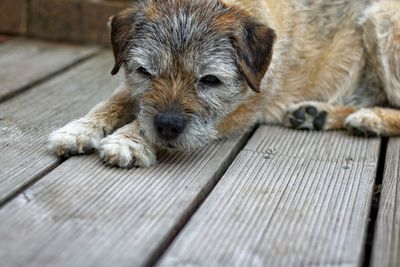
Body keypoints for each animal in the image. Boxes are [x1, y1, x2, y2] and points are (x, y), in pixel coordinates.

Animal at [48, 0, 400, 168]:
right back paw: (317, 114)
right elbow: (112, 102)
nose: (168, 125)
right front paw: (79, 129)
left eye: (210, 80)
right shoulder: (134, 89)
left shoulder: (240, 108)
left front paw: (129, 140)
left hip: (382, 18)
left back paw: (371, 118)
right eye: (145, 72)